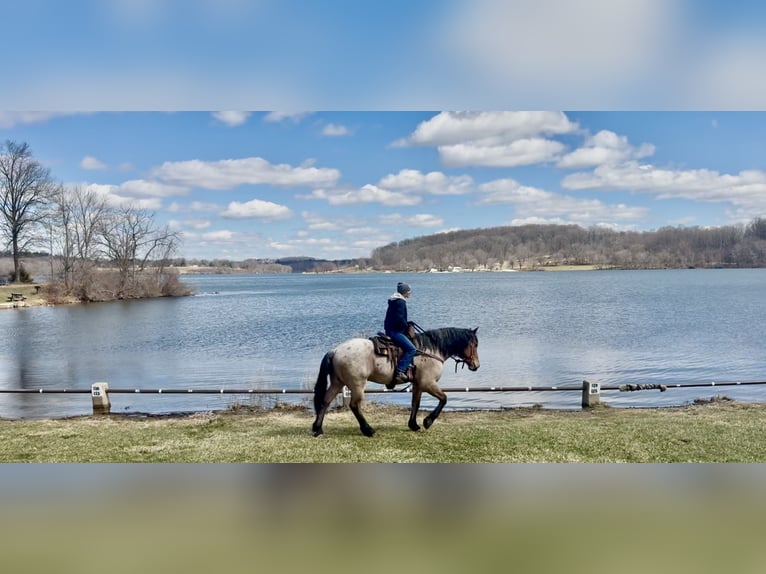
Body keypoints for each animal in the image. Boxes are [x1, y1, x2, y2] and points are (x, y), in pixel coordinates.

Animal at [312, 327, 480, 437]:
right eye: (474, 344)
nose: (476, 365)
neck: (431, 351)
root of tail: (335, 351)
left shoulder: (418, 384)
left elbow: (415, 403)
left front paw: (414, 425)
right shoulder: (428, 383)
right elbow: (444, 399)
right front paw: (428, 421)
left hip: (337, 382)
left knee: (325, 401)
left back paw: (318, 429)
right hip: (357, 384)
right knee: (354, 405)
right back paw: (368, 430)